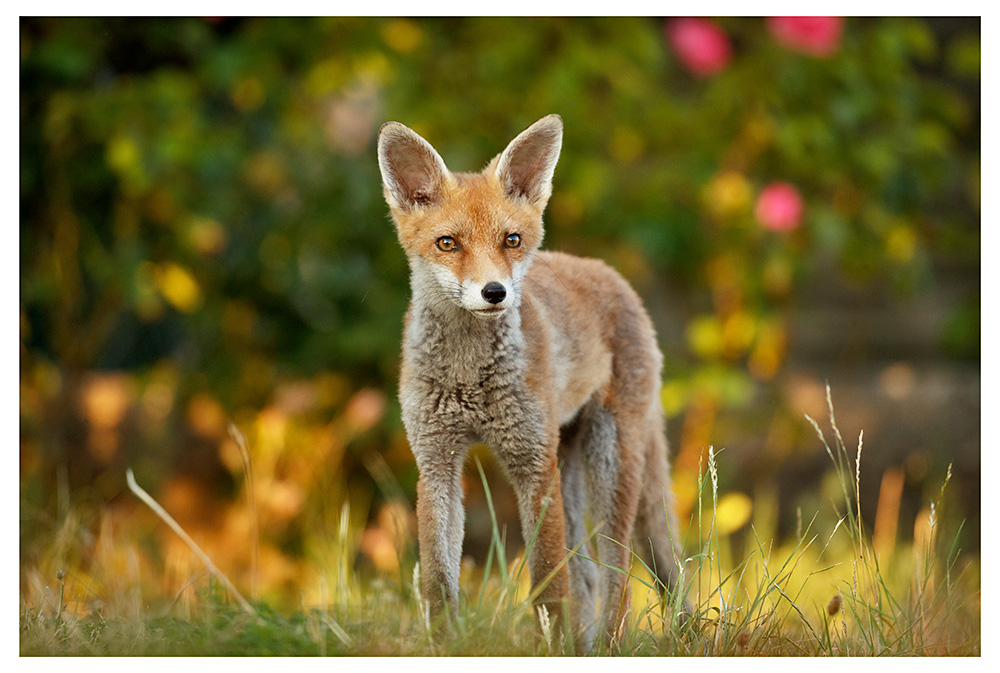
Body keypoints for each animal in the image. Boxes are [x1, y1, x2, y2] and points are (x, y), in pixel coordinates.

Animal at [376, 114, 684, 649]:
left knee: (617, 573)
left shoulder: (532, 464)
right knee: (588, 574)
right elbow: (438, 578)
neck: (468, 378)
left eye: (512, 240)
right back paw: (587, 649)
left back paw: (607, 646)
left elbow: (547, 580)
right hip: (570, 463)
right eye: (447, 243)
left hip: (608, 461)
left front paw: (551, 647)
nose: (494, 292)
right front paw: (445, 646)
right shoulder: (436, 463)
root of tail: (609, 273)